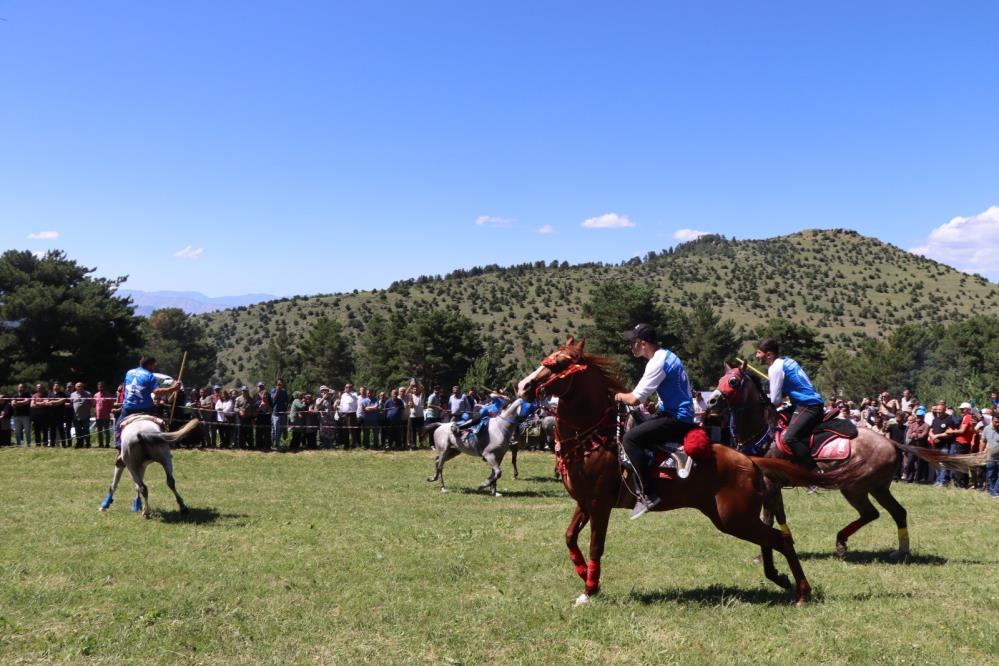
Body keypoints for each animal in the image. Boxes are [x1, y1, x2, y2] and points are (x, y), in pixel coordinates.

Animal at [516, 340, 868, 604]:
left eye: (560, 363)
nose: (524, 385)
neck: (595, 437)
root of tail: (749, 461)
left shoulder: (600, 505)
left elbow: (595, 546)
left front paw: (590, 590)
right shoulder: (584, 503)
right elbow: (569, 538)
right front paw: (584, 577)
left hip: (734, 518)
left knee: (781, 537)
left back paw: (802, 591)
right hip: (734, 517)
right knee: (777, 537)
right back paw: (782, 579)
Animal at [712, 364, 916, 560]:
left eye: (733, 381)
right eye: (720, 379)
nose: (712, 401)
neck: (764, 432)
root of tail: (892, 443)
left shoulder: (770, 482)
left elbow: (769, 518)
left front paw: (763, 556)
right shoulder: (773, 484)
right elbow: (780, 515)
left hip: (854, 487)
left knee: (873, 512)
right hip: (877, 488)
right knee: (894, 512)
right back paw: (899, 551)